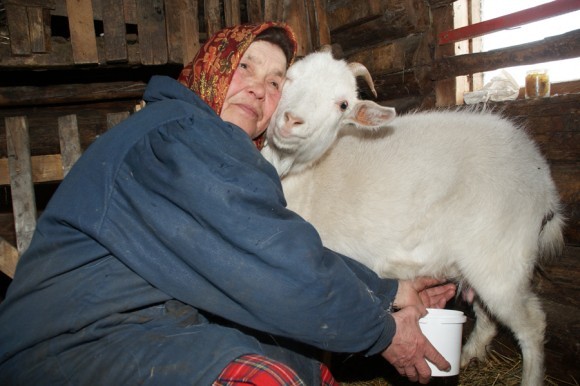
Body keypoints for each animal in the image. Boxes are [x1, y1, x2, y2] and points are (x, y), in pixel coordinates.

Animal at [260, 52, 564, 386]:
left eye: (342, 104)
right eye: (288, 78)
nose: (292, 120)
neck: (305, 178)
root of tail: (543, 182)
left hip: (501, 257)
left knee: (531, 323)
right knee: (487, 316)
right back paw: (467, 355)